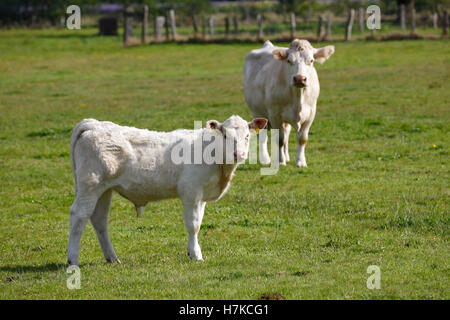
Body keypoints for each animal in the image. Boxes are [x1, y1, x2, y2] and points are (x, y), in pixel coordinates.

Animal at [67, 115, 268, 264]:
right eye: (225, 136)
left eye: (247, 136)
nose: (239, 154)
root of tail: (93, 124)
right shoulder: (191, 192)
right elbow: (193, 225)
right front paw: (196, 254)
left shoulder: (202, 197)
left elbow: (199, 222)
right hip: (90, 184)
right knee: (79, 215)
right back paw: (73, 260)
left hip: (104, 189)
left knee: (99, 219)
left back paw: (112, 258)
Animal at [243, 39, 334, 168]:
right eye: (289, 61)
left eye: (311, 60)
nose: (300, 78)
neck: (298, 97)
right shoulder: (275, 115)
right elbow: (279, 139)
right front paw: (281, 161)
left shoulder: (311, 114)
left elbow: (302, 139)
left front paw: (300, 161)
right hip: (257, 112)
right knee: (263, 136)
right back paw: (265, 159)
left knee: (286, 133)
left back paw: (286, 156)